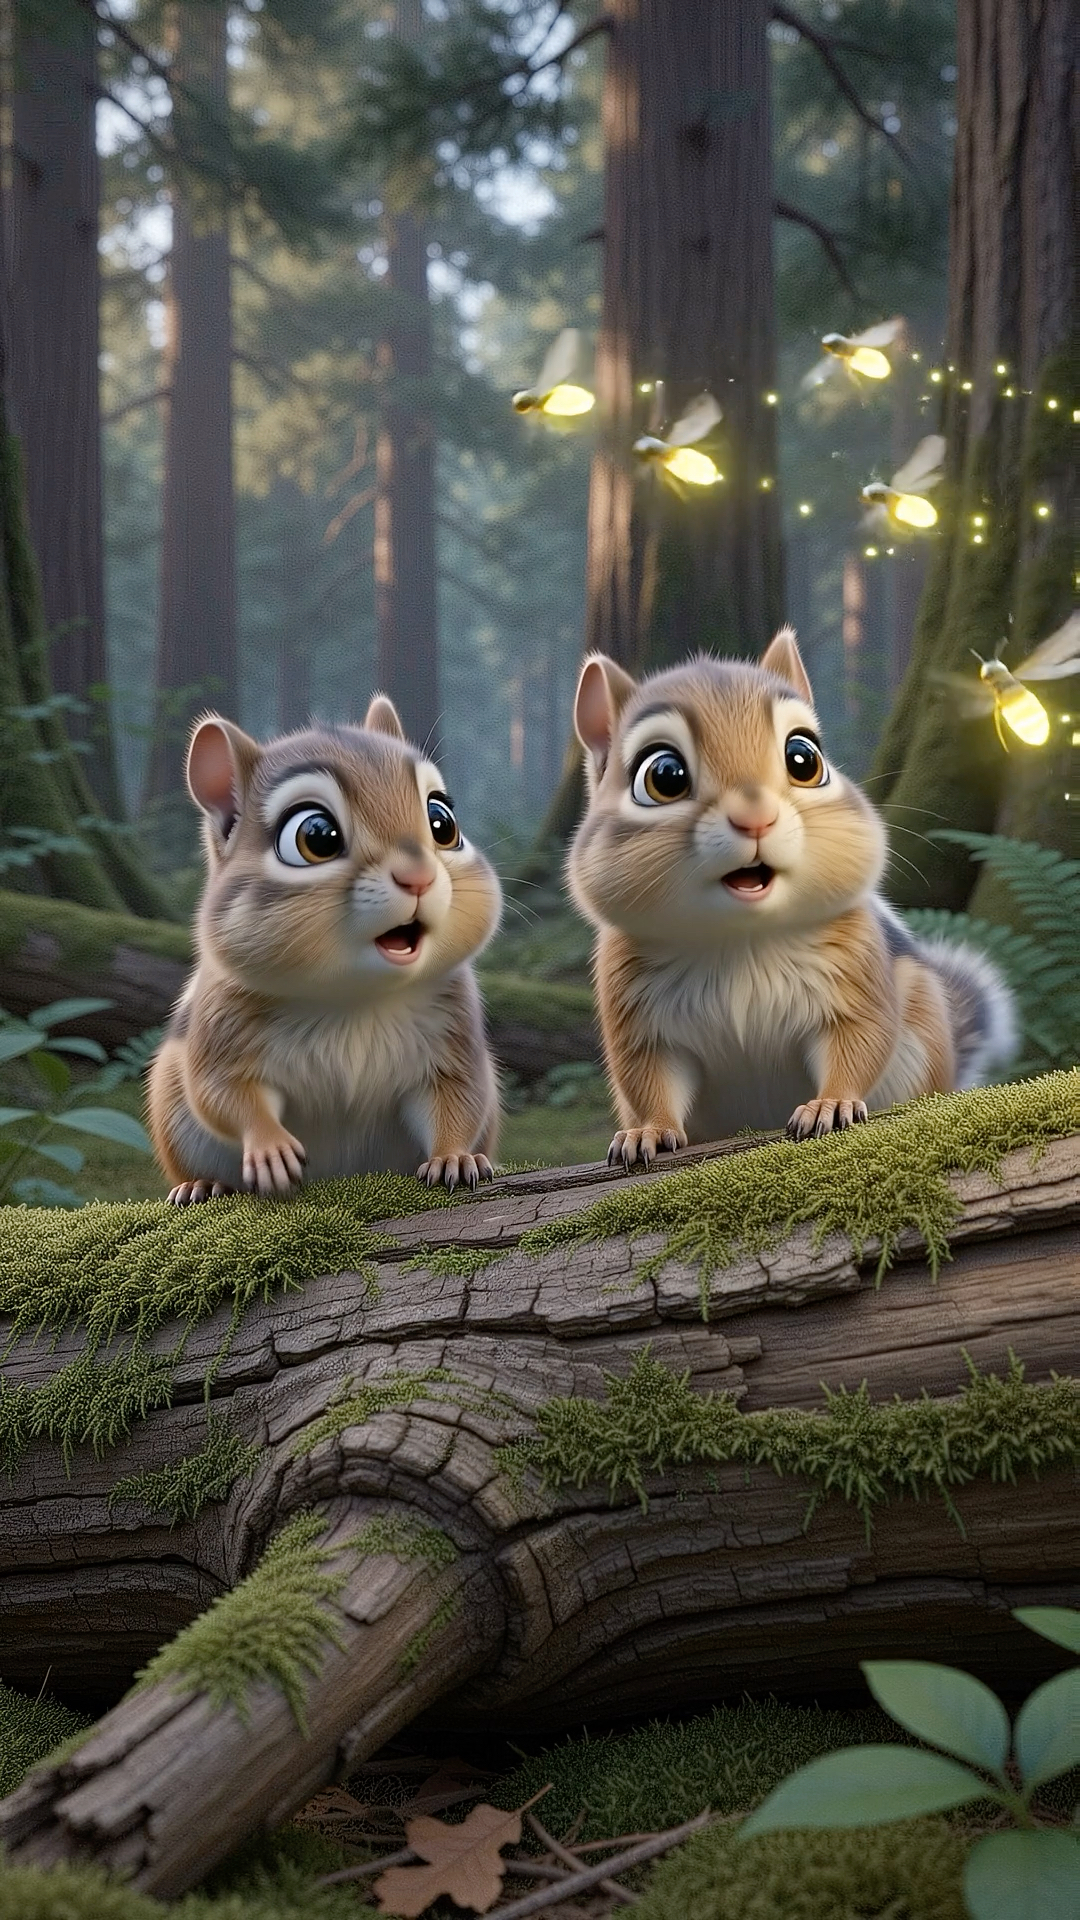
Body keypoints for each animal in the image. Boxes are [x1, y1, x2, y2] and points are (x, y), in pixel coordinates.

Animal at [147, 697, 502, 1202]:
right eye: (316, 835)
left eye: (442, 822)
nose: (419, 877)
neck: (353, 998)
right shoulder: (220, 1033)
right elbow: (225, 1095)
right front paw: (270, 1148)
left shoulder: (455, 1042)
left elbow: (458, 1100)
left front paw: (454, 1157)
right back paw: (200, 1184)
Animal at [567, 626, 1016, 1166]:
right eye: (663, 775)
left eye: (804, 758)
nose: (755, 817)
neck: (739, 938)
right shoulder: (637, 1017)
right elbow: (648, 1080)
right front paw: (647, 1131)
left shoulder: (857, 981)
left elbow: (858, 1043)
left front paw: (831, 1104)